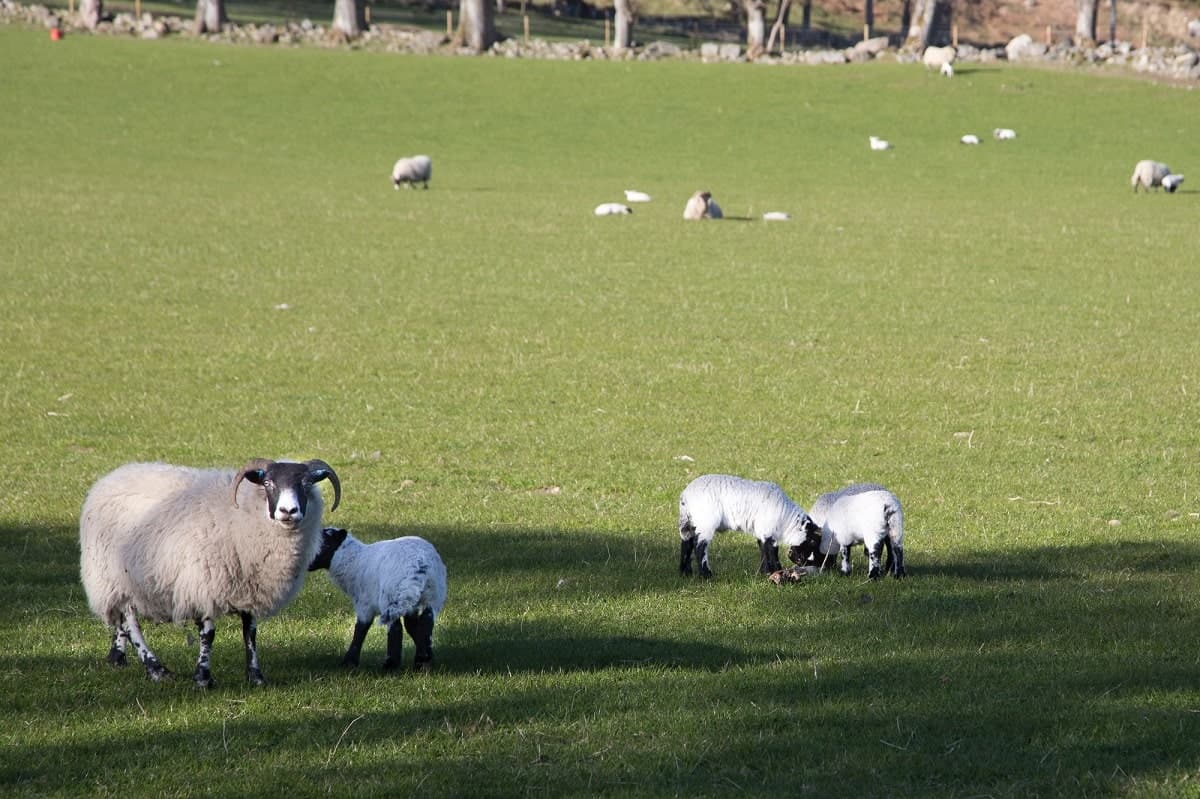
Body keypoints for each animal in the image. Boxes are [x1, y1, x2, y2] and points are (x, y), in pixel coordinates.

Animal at [78, 458, 343, 686]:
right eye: (268, 483)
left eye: (306, 484)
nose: (288, 511)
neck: (242, 515)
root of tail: (111, 477)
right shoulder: (201, 583)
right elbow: (208, 634)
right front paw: (203, 678)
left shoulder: (251, 586)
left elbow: (250, 633)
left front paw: (256, 677)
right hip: (112, 576)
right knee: (130, 621)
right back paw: (155, 669)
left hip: (128, 580)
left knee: (120, 620)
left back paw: (117, 657)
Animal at [307, 525, 448, 667]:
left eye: (324, 543)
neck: (353, 562)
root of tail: (418, 565)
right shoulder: (411, 606)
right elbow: (412, 626)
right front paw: (426, 657)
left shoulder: (364, 604)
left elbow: (361, 629)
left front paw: (349, 662)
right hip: (432, 594)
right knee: (427, 620)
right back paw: (422, 660)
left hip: (391, 596)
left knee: (395, 627)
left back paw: (390, 665)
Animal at [681, 472, 820, 578]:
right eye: (812, 541)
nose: (805, 564)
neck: (785, 517)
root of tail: (685, 496)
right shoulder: (769, 531)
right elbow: (772, 552)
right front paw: (778, 572)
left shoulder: (761, 531)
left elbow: (763, 550)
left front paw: (765, 573)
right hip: (706, 522)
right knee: (699, 547)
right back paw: (706, 575)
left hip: (689, 523)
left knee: (686, 543)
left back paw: (685, 572)